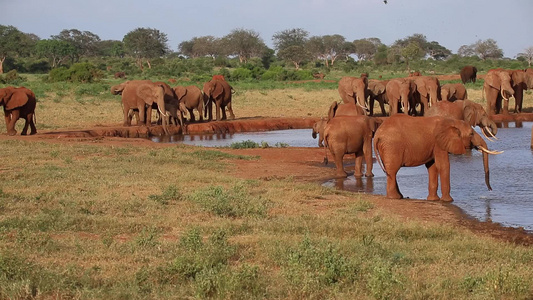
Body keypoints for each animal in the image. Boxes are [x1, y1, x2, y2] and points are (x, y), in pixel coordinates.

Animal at [372, 114, 500, 202]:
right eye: (471, 134)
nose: (490, 190)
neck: (451, 121)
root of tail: (377, 134)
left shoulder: (433, 145)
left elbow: (432, 167)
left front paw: (434, 200)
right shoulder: (439, 143)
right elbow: (444, 165)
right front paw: (448, 201)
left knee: (389, 170)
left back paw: (399, 196)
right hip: (392, 146)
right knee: (393, 171)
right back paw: (394, 198)